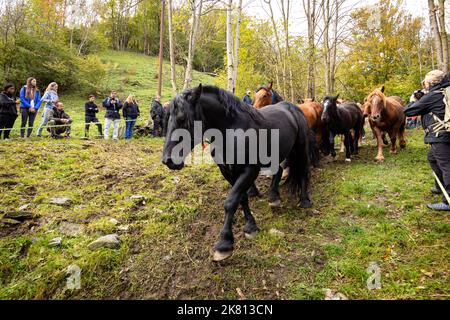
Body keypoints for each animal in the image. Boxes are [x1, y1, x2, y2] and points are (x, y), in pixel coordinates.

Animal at [163, 85, 312, 262]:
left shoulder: (249, 171)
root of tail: (292, 107)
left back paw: (304, 200)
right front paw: (251, 226)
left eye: (182, 118)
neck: (231, 132)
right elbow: (241, 198)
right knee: (279, 171)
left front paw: (224, 243)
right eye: (168, 119)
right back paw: (274, 197)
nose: (167, 160)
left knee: (302, 171)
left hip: (301, 148)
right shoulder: (228, 172)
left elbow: (231, 201)